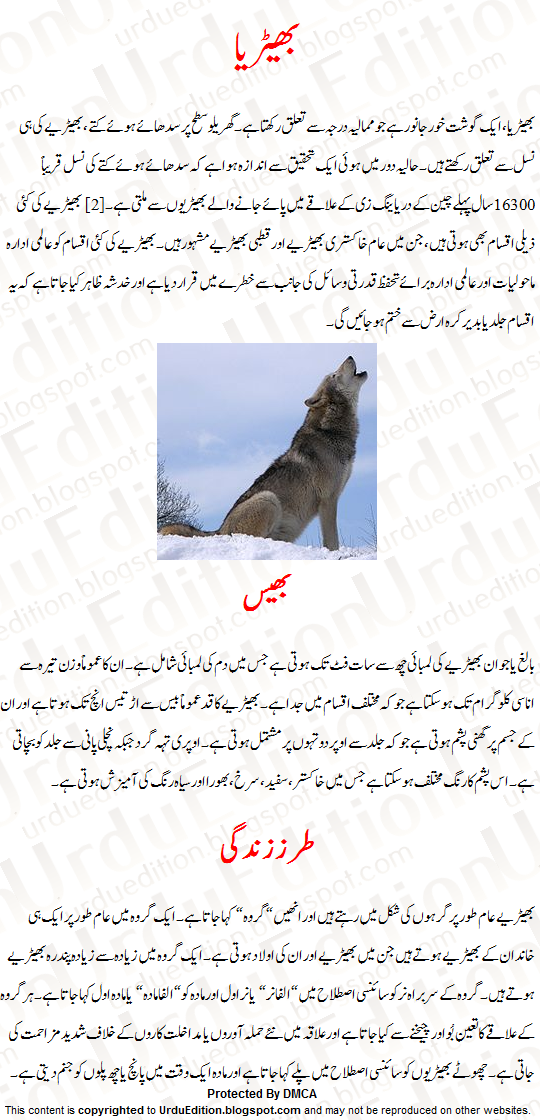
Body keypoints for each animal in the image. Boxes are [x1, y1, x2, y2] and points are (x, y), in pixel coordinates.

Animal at [160, 355, 368, 551]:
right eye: (334, 374)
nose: (349, 356)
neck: (331, 431)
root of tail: (219, 531)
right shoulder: (328, 500)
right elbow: (332, 540)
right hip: (269, 498)